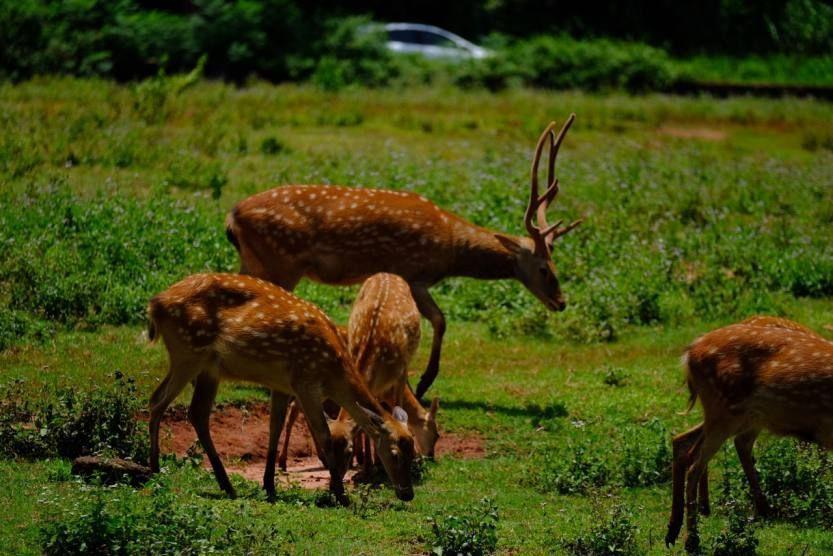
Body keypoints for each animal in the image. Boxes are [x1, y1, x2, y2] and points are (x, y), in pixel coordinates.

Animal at [148, 274, 416, 504]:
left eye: (413, 451)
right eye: (394, 454)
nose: (408, 493)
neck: (334, 371)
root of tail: (155, 305)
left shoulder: (283, 384)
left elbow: (274, 427)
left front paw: (269, 486)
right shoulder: (305, 381)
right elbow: (323, 435)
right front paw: (340, 495)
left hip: (209, 368)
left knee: (197, 413)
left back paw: (227, 485)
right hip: (188, 351)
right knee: (158, 400)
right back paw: (154, 469)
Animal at [224, 115, 580, 400]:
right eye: (545, 269)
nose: (561, 302)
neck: (450, 248)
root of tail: (232, 216)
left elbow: (438, 319)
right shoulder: (413, 272)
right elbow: (440, 319)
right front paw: (423, 382)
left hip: (255, 260)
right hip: (281, 260)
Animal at [278, 274, 442, 474]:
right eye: (436, 434)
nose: (431, 457)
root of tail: (388, 274)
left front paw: (368, 461)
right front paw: (371, 463)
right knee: (296, 408)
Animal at [668, 318, 832, 552]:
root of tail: (690, 352)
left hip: (742, 417)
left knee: (687, 442)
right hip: (725, 411)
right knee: (695, 463)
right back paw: (692, 540)